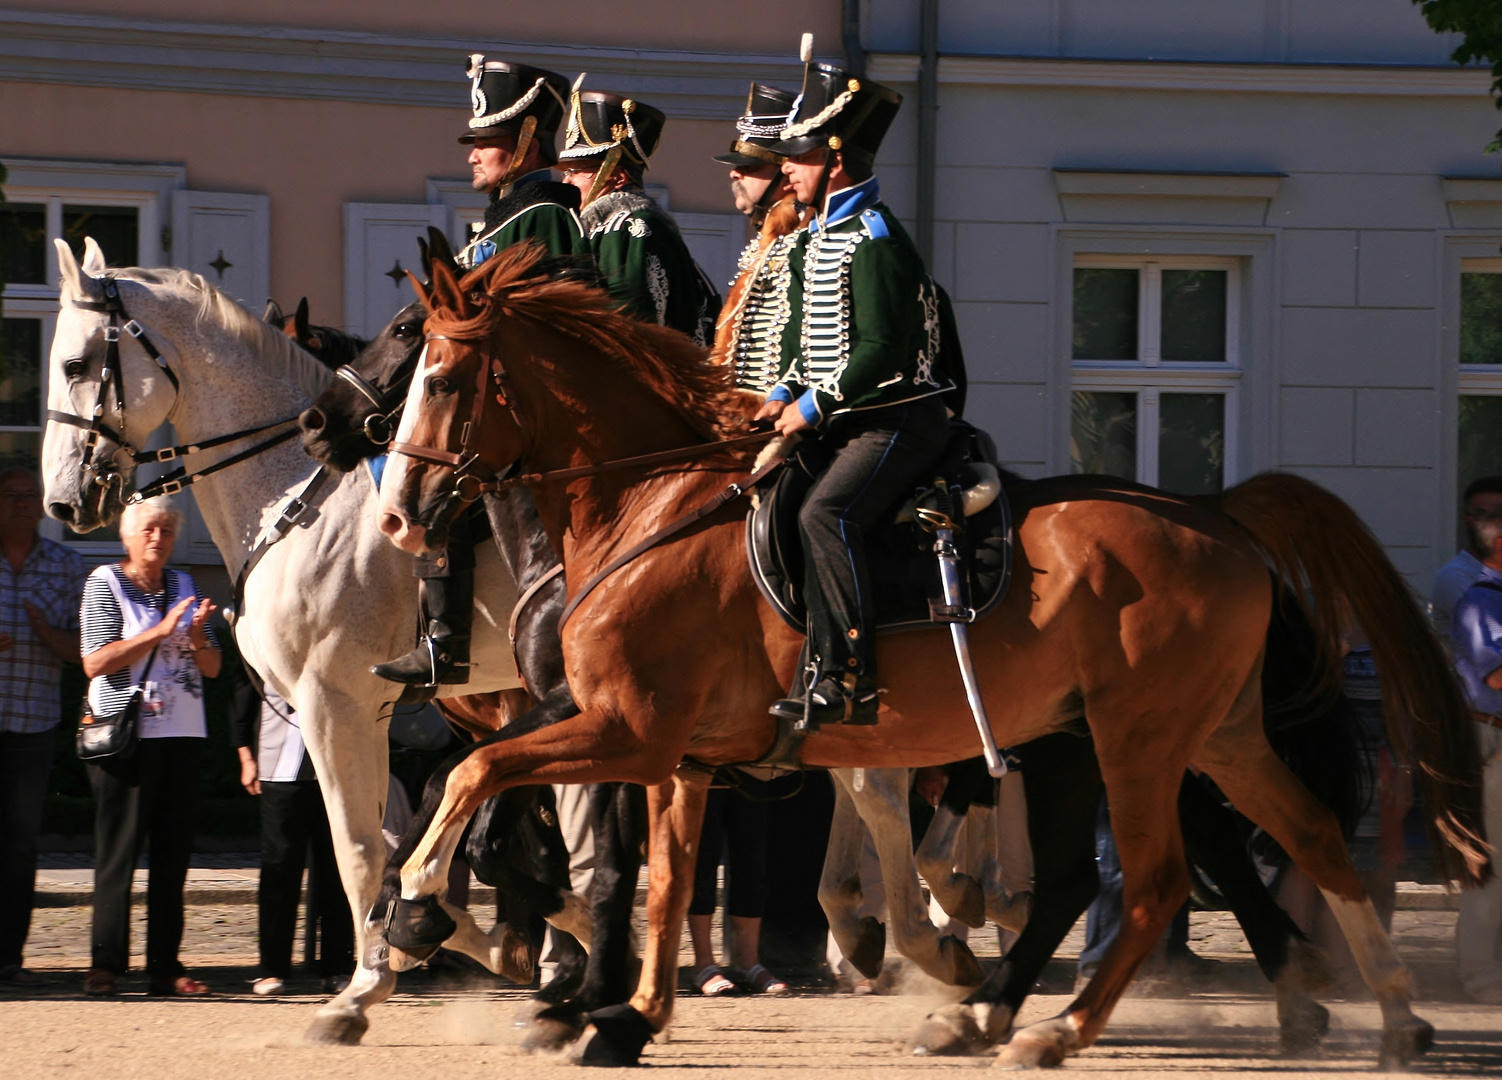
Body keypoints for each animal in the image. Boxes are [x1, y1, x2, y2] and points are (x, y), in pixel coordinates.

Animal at [39, 238, 546, 1045]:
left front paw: (364, 987)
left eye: (76, 363)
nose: (62, 501)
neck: (298, 494)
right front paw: (459, 935)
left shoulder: (335, 702)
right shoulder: (371, 711)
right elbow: (411, 838)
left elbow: (363, 848)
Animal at [378, 249, 1489, 1069]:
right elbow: (658, 879)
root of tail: (1212, 514)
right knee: (1305, 840)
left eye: (442, 376)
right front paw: (625, 1015)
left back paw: (1051, 1026)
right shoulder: (671, 756)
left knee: (1155, 880)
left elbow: (477, 780)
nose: (396, 515)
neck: (653, 503)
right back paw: (1386, 1016)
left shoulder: (625, 732)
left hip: (1136, 742)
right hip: (1192, 736)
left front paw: (421, 908)